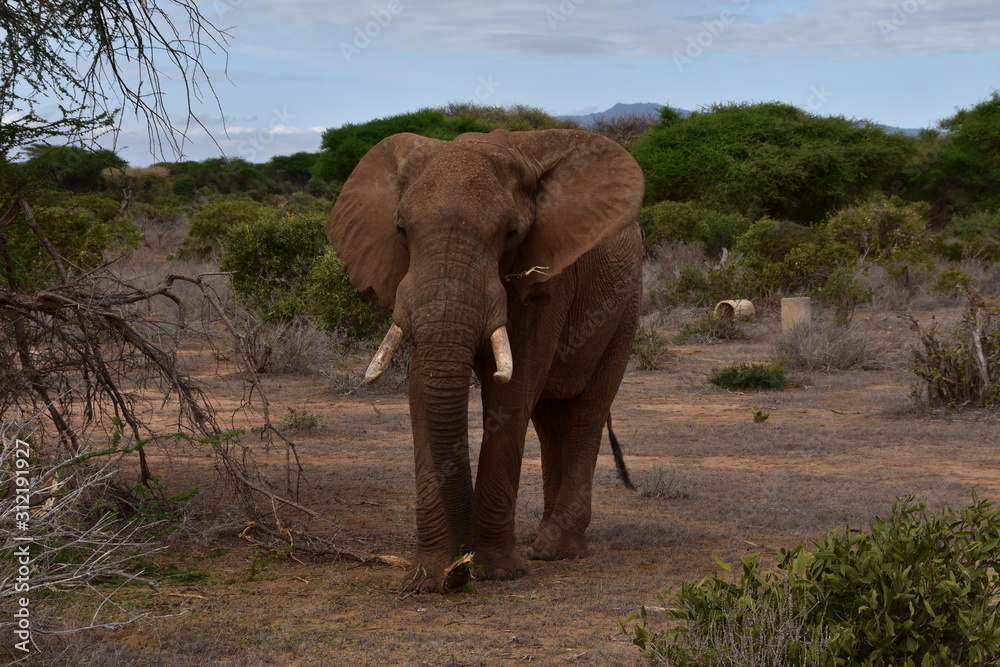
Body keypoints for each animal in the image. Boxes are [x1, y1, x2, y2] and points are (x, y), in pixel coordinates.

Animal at [325, 128, 644, 592]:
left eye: (511, 232)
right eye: (401, 229)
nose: (461, 568)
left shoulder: (548, 279)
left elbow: (511, 393)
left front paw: (496, 572)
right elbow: (421, 391)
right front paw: (428, 577)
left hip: (626, 307)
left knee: (586, 414)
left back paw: (555, 550)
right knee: (549, 422)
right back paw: (539, 542)